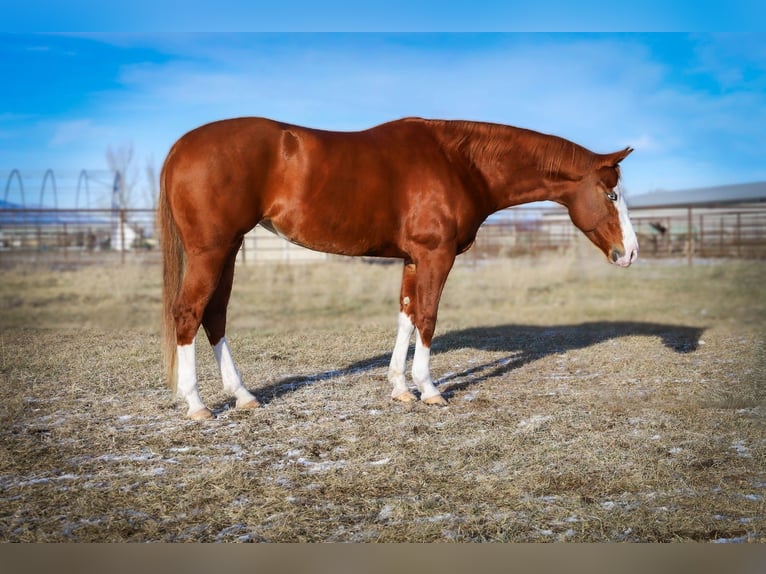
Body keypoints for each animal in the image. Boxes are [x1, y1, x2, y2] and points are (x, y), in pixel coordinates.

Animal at [158, 117, 638, 419]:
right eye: (611, 194)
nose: (630, 253)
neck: (459, 163)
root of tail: (181, 145)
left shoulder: (412, 259)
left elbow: (406, 316)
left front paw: (400, 388)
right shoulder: (435, 255)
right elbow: (427, 318)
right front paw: (429, 390)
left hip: (228, 250)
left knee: (214, 316)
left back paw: (243, 396)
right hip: (211, 250)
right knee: (189, 313)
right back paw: (197, 405)